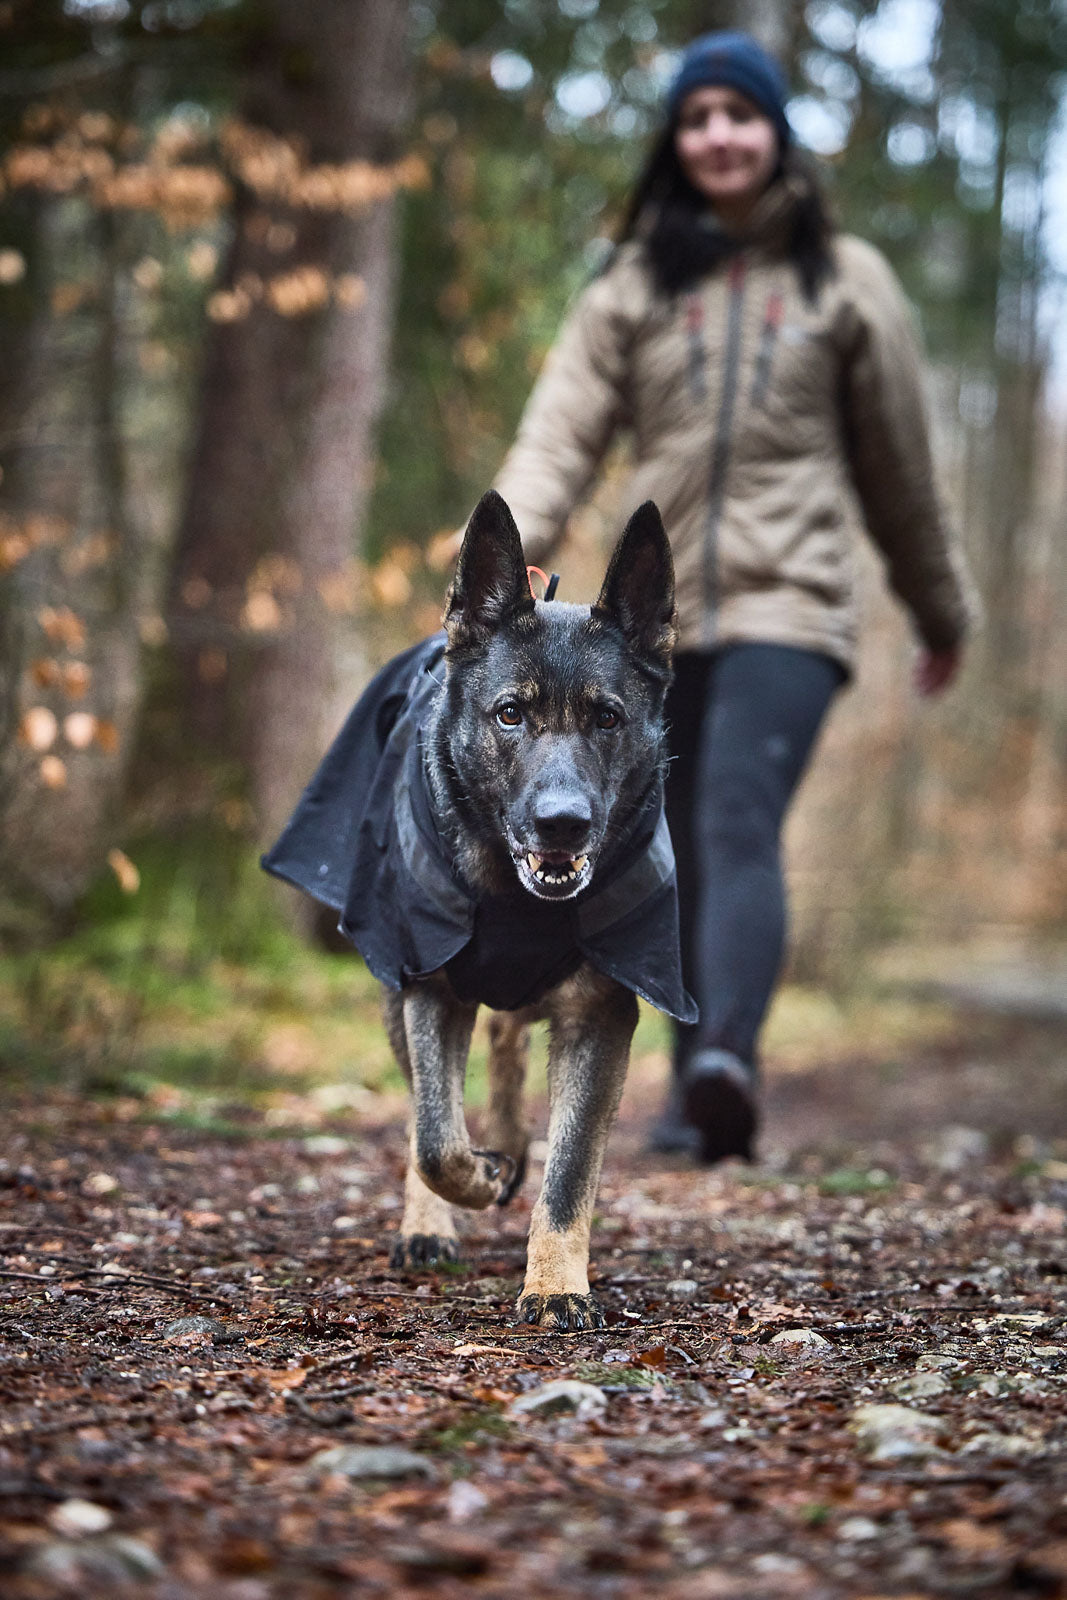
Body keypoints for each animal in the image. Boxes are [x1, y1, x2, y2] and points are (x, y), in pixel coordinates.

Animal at [265, 492, 694, 1331]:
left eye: (607, 718)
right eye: (509, 715)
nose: (562, 823)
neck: (513, 898)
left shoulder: (598, 1015)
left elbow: (569, 1172)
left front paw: (554, 1284)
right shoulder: (427, 984)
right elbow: (434, 1137)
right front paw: (474, 1182)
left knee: (507, 1043)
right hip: (399, 995)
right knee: (429, 1111)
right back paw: (439, 1214)